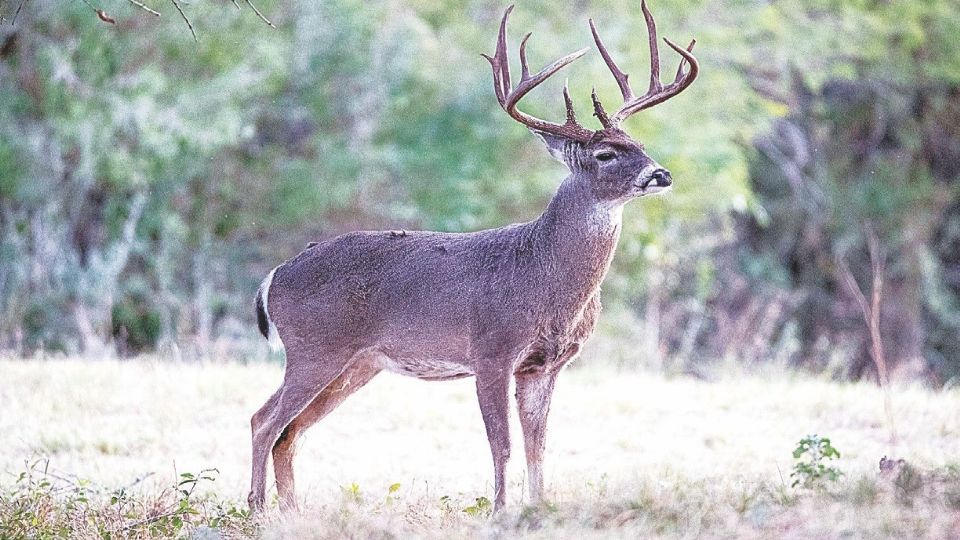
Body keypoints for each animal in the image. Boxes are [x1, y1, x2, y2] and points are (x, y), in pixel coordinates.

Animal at [248, 0, 696, 516]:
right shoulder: (491, 350)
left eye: (639, 145)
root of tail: (275, 275)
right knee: (264, 420)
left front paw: (538, 509)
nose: (660, 174)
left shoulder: (544, 366)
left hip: (356, 364)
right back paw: (257, 510)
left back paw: (292, 513)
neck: (544, 272)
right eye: (605, 154)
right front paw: (501, 512)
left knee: (289, 433)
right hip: (313, 348)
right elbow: (501, 444)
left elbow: (538, 446)